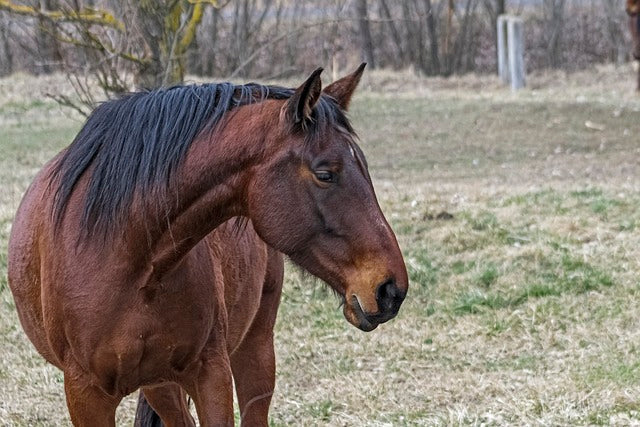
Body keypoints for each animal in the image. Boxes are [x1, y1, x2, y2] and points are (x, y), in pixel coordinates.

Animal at [7, 64, 409, 426]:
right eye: (325, 174)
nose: (391, 289)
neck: (127, 258)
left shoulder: (210, 374)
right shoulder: (86, 394)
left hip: (253, 352)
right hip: (160, 385)